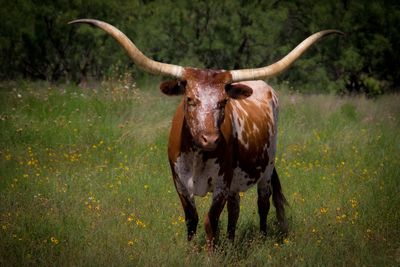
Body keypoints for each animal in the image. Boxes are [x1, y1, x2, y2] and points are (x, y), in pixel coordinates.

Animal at [69, 19, 344, 249]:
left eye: (223, 102)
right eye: (190, 99)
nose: (210, 139)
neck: (197, 156)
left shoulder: (221, 184)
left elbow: (211, 222)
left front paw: (212, 253)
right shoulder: (180, 182)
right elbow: (192, 219)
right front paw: (192, 252)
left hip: (266, 168)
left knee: (263, 203)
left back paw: (262, 239)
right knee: (235, 209)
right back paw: (231, 244)